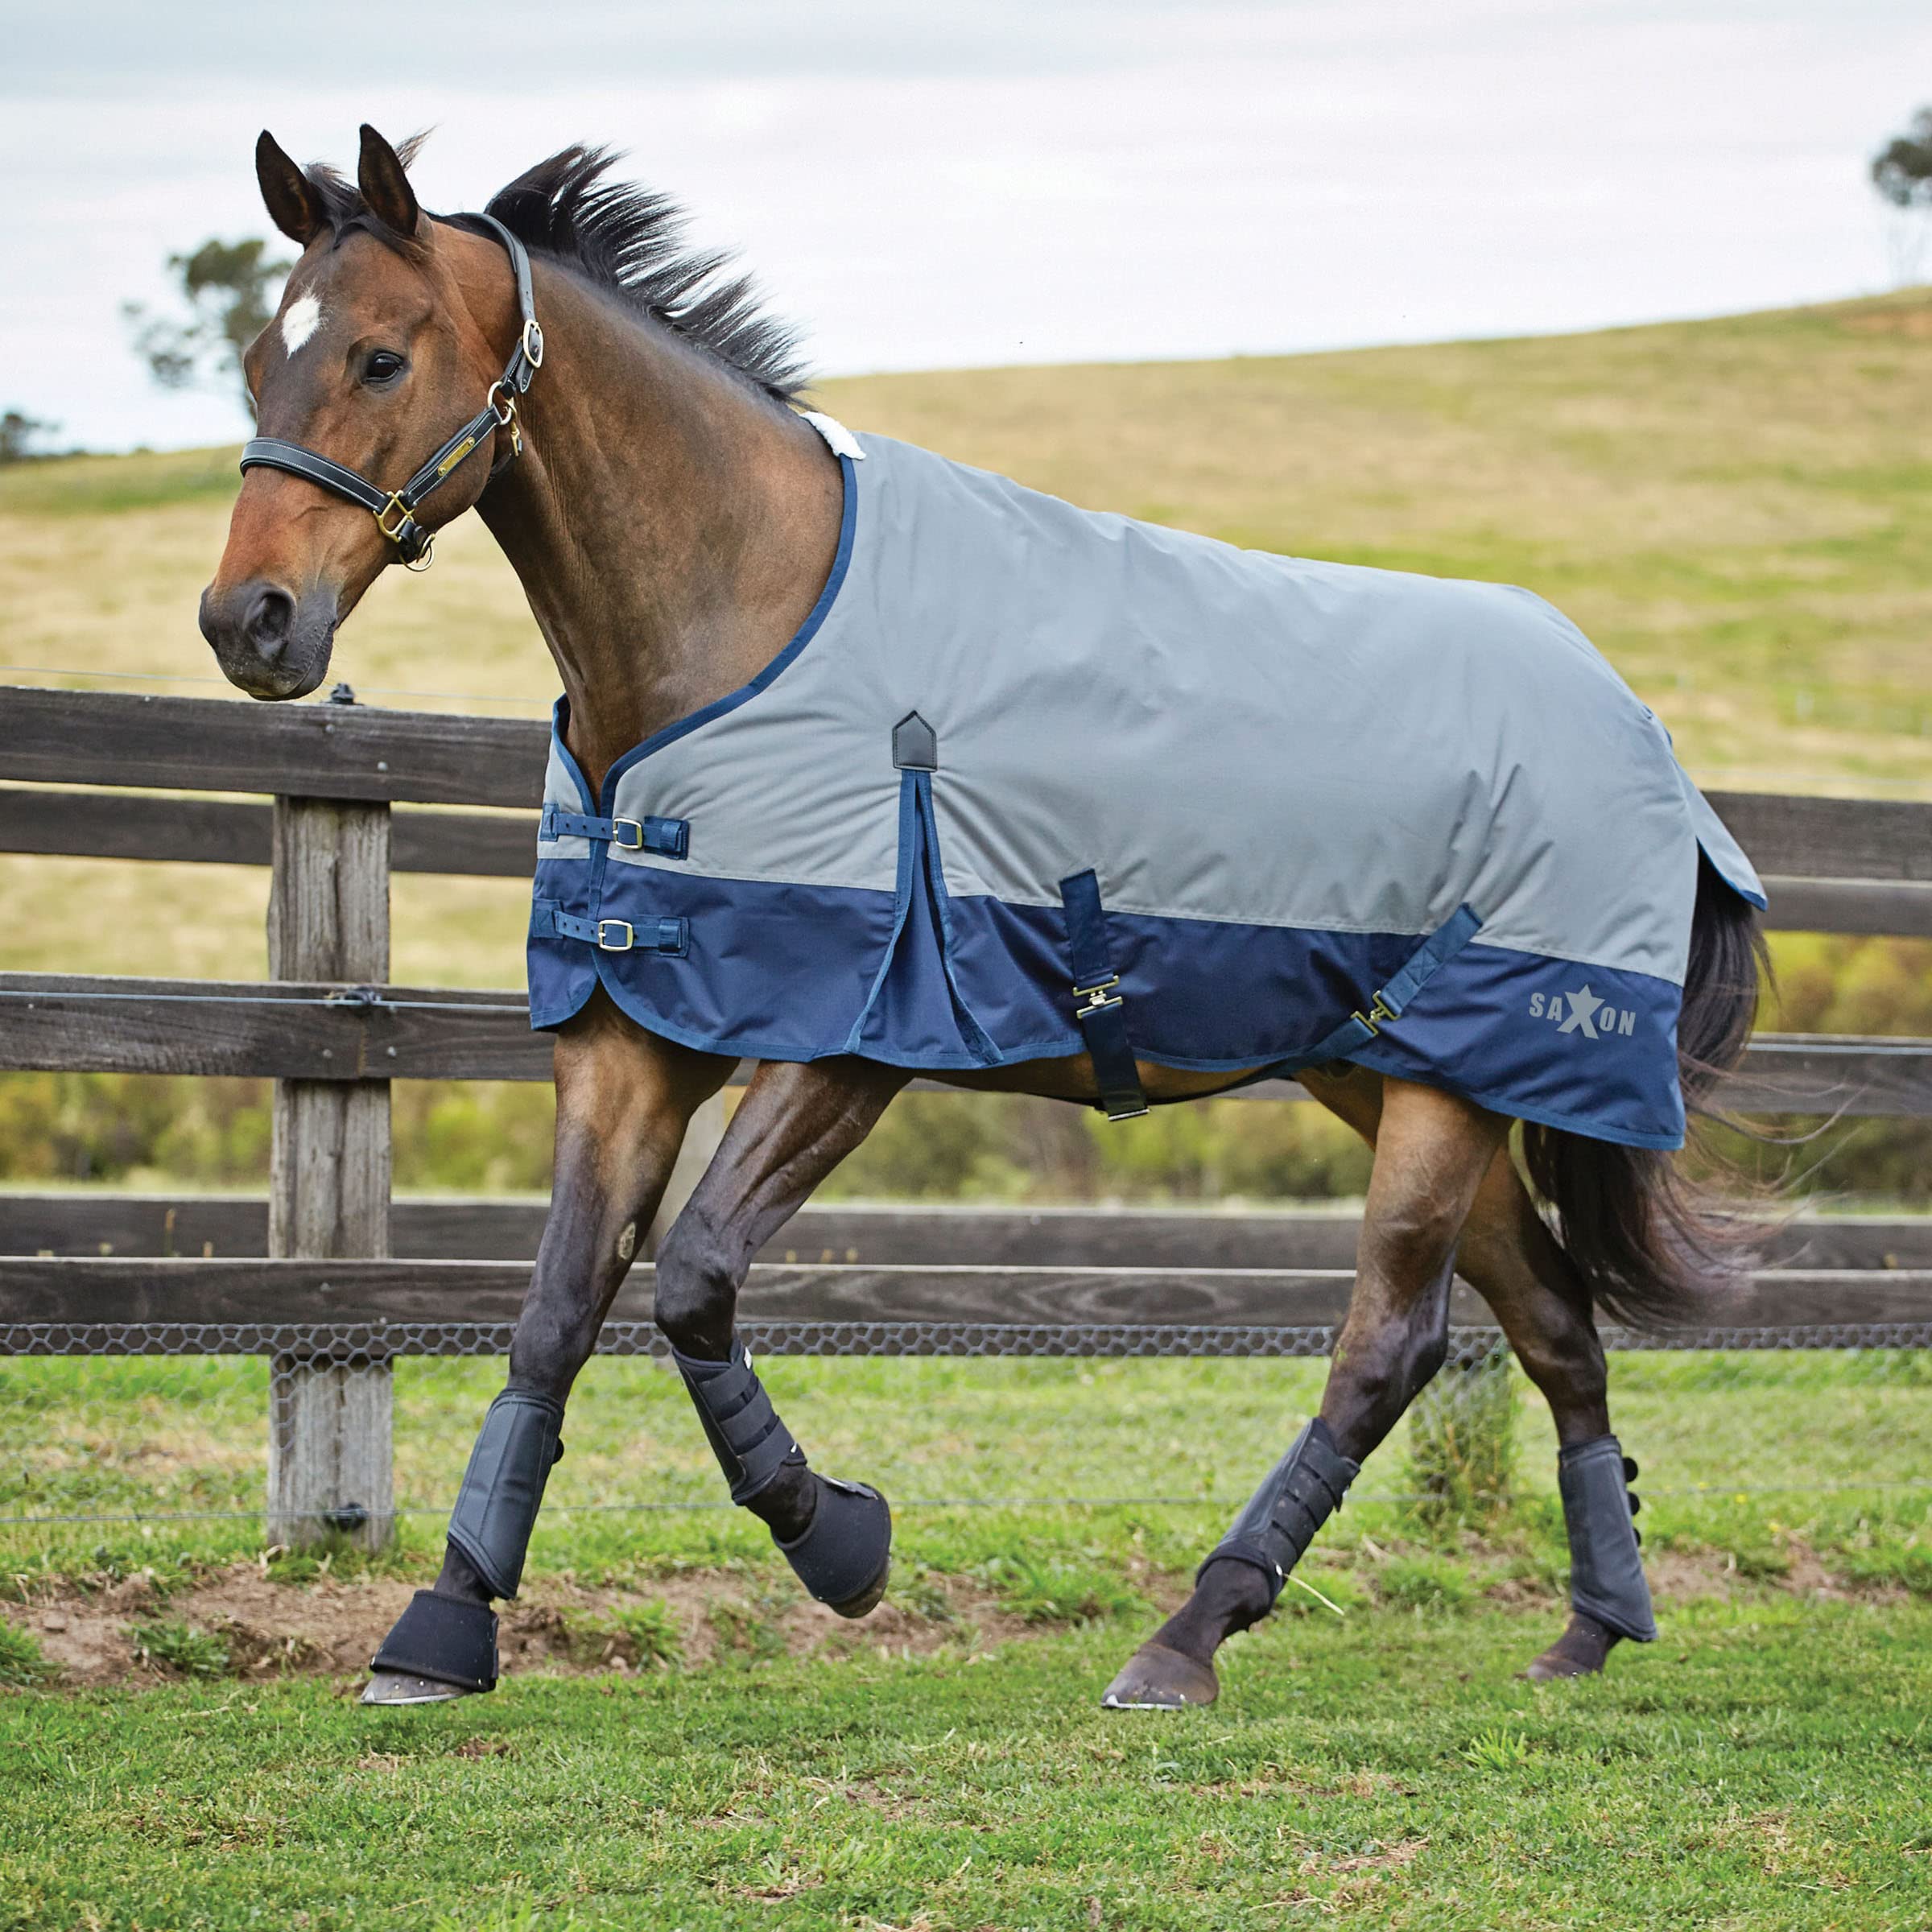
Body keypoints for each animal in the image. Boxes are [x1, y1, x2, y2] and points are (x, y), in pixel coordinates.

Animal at [200, 126, 1769, 1711]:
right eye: (261, 362)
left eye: (383, 358)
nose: (248, 622)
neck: (747, 618)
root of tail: (1640, 732)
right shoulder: (629, 1045)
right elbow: (556, 1314)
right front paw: (442, 1625)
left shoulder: (852, 1046)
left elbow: (693, 1285)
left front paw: (840, 1542)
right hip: (1399, 1073)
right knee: (1556, 1328)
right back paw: (1594, 1625)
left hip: (1450, 1089)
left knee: (1390, 1345)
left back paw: (1190, 1636)